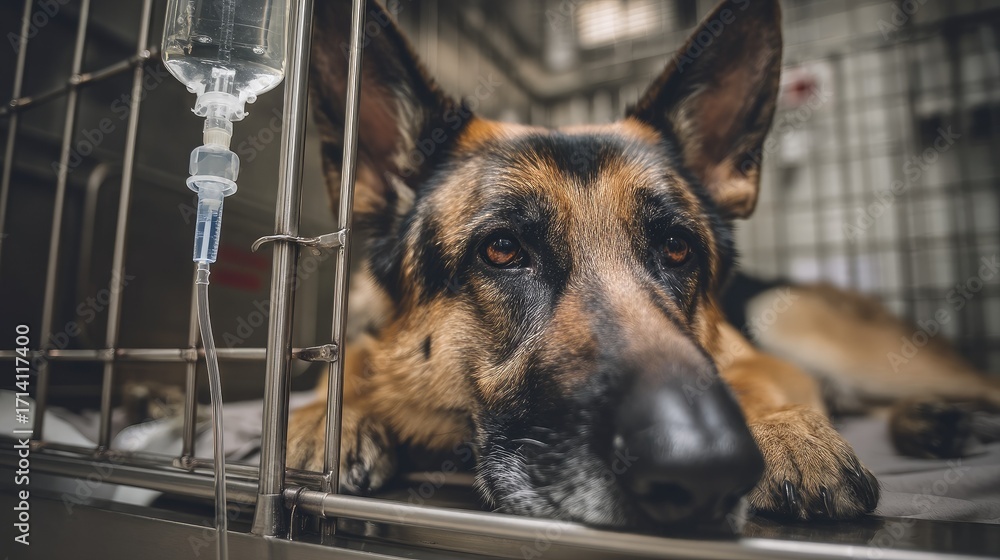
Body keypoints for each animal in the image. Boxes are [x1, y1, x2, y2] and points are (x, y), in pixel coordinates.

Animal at [287, 0, 999, 529]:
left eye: (678, 248)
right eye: (503, 249)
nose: (703, 464)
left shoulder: (760, 360)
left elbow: (755, 382)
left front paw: (782, 430)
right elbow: (342, 364)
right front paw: (320, 420)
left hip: (791, 317)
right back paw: (936, 422)